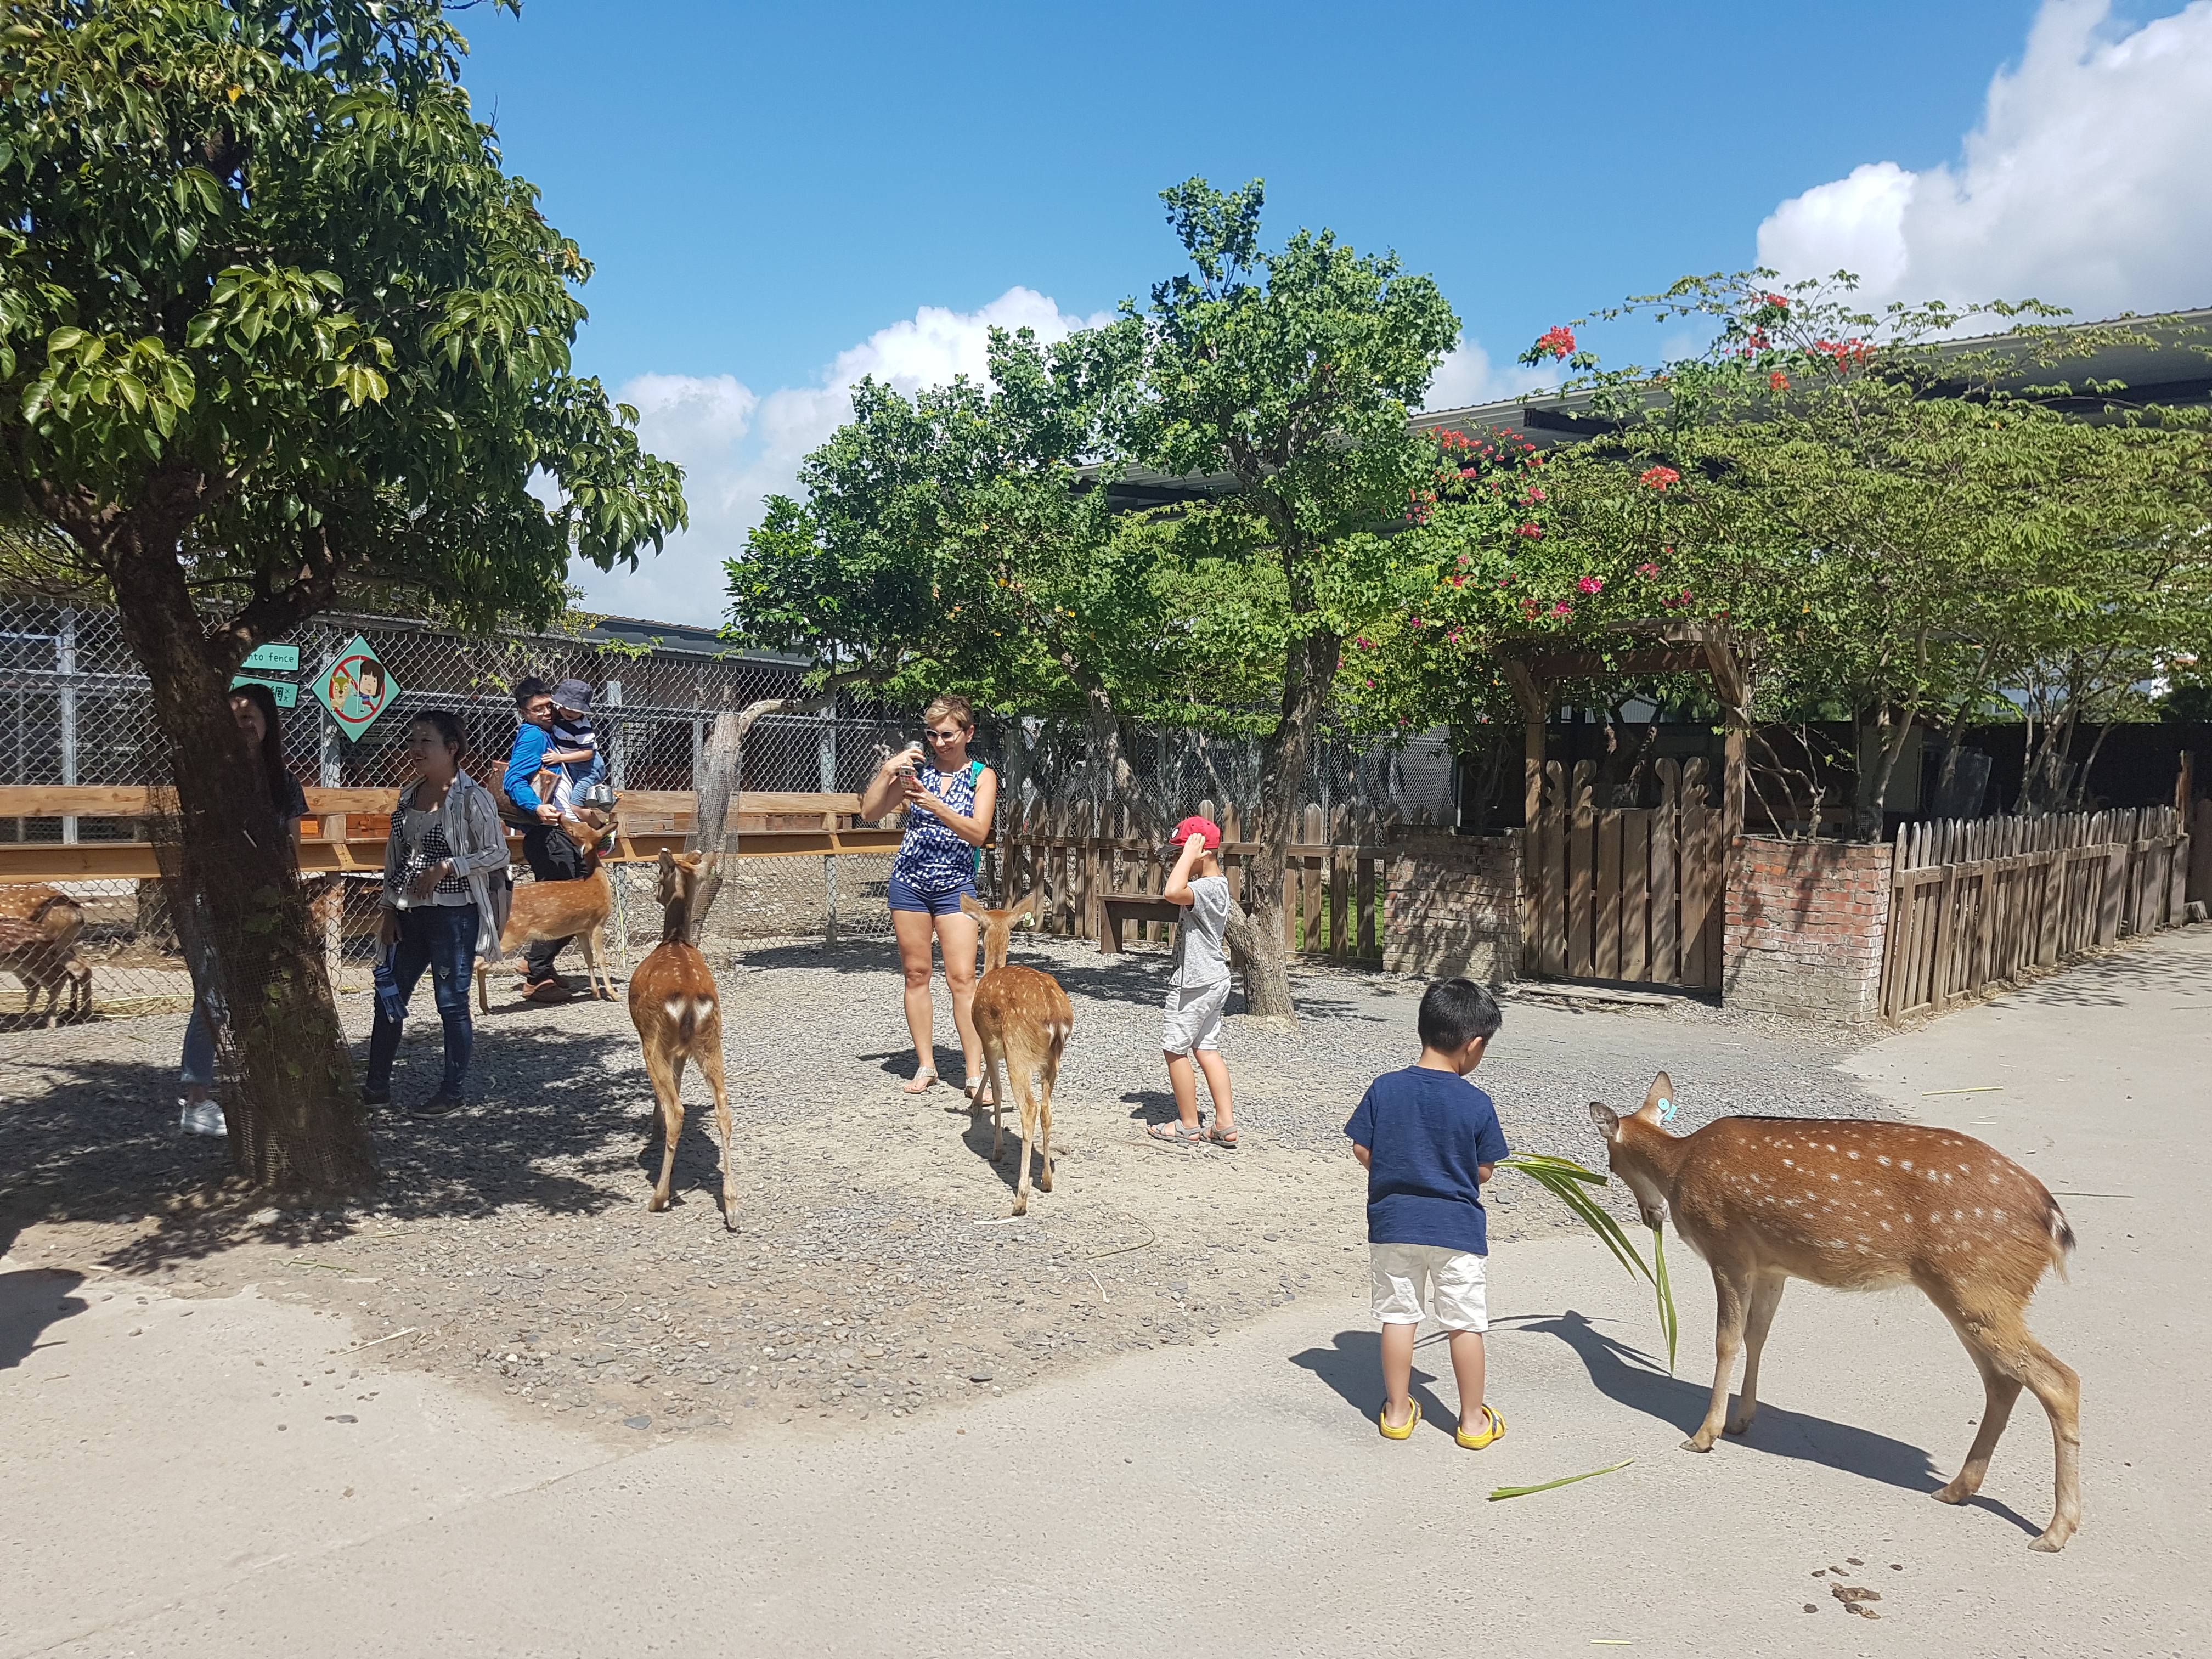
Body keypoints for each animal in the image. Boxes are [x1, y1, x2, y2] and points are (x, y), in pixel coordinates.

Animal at [475, 814, 624, 1013]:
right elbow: (601, 958)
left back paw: (485, 1008)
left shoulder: (581, 928)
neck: (597, 881)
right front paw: (613, 993)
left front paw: (596, 993)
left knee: (480, 965)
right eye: (573, 829)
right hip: (511, 934)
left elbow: (589, 958)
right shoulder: (597, 922)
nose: (560, 817)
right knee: (477, 963)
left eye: (578, 827)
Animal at [628, 849, 738, 1229]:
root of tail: (691, 1000)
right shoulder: (682, 1050)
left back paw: (659, 1198)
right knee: (724, 1110)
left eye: (659, 876)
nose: (655, 893)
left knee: (678, 1107)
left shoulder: (658, 1041)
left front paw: (654, 1126)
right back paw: (732, 1207)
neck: (675, 939)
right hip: (713, 1039)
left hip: (653, 1038)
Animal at [960, 898, 1079, 1221]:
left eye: (980, 927)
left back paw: (1021, 1199)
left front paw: (997, 1148)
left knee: (1030, 1108)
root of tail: (1055, 1015)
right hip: (1053, 1060)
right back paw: (1047, 1180)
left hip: (1019, 1050)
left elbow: (997, 1089)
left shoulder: (987, 1039)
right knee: (1047, 1108)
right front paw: (975, 1106)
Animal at [1593, 1070, 2070, 1557]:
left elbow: (1726, 1340)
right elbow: (1757, 1334)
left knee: (2059, 1381)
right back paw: (1957, 1489)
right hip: (1977, 1294)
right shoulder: (1771, 1266)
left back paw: (2054, 1531)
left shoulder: (1727, 1249)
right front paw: (1742, 1420)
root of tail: (2054, 1219)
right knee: (2004, 1382)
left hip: (1976, 1283)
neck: (1680, 1164)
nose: (1651, 1216)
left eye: (1611, 1166)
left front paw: (1705, 1434)